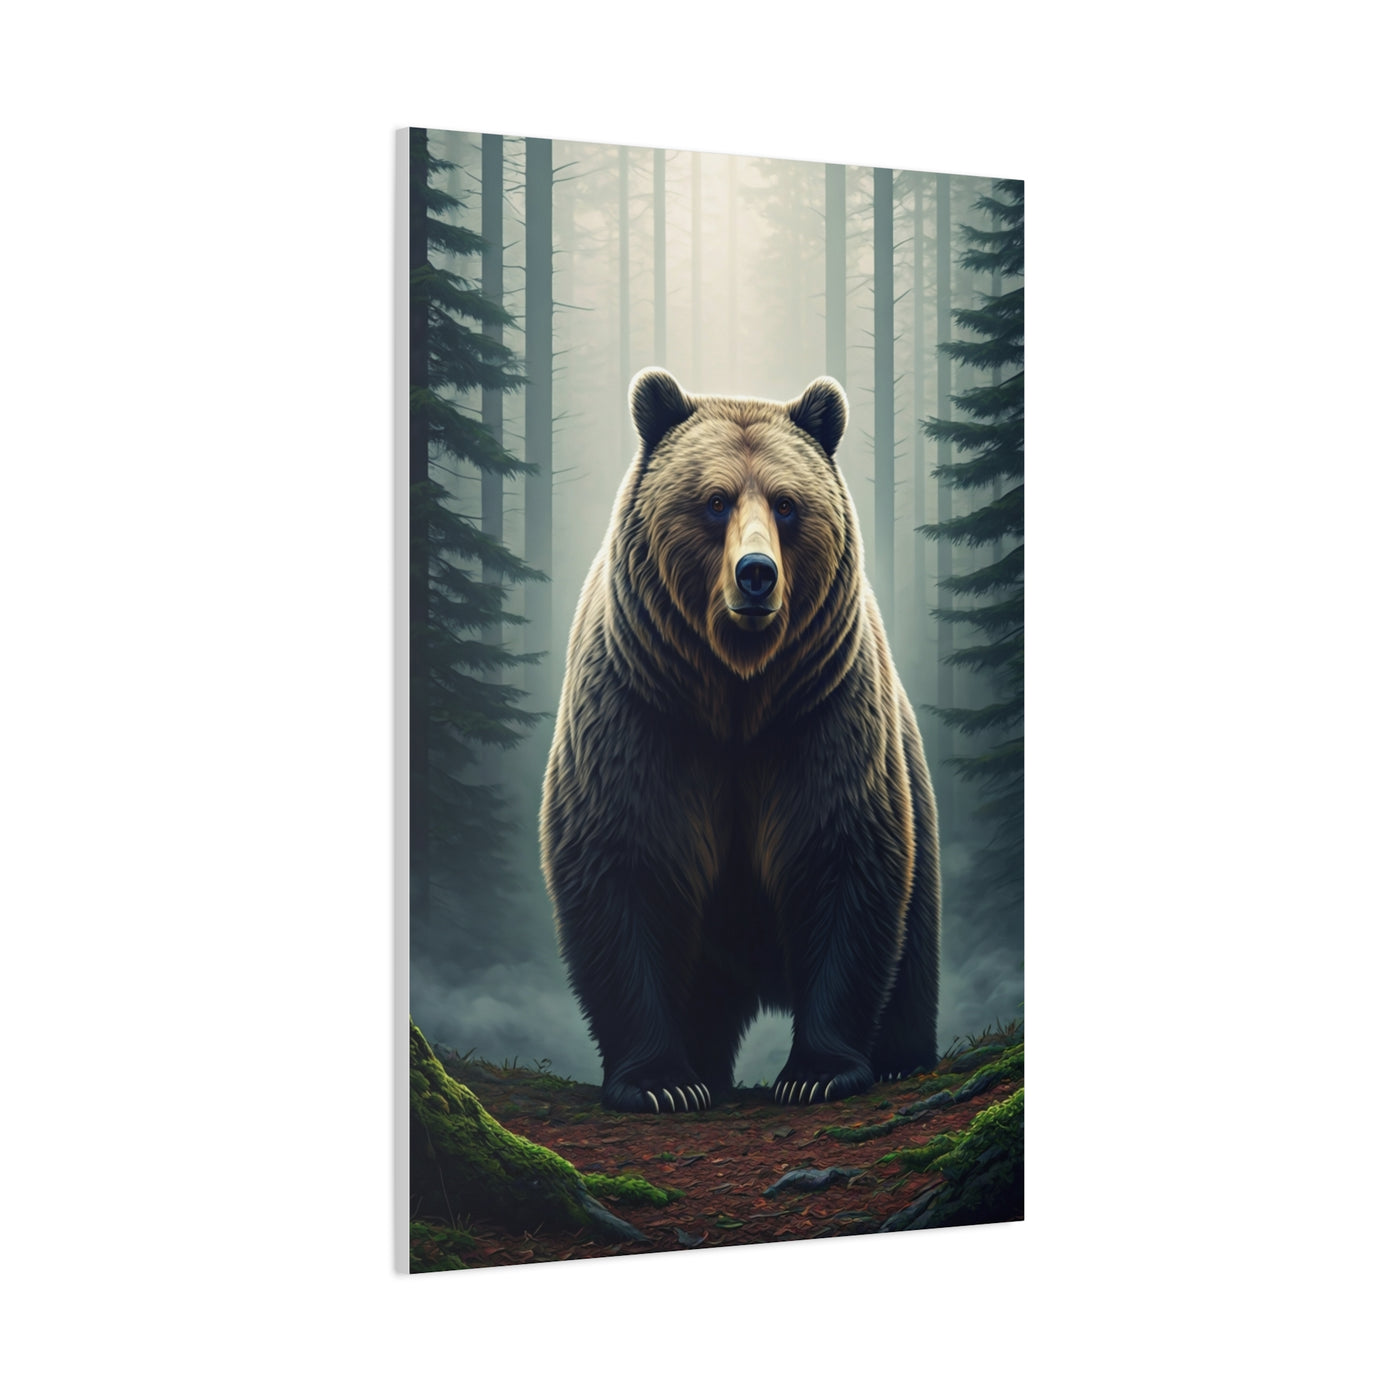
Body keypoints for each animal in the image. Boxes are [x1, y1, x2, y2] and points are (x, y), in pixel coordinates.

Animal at [540, 368, 940, 1113]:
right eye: (715, 501)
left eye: (786, 505)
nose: (756, 573)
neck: (737, 696)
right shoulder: (642, 715)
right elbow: (625, 865)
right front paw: (661, 1084)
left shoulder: (821, 717)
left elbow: (843, 859)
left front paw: (816, 1072)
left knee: (915, 945)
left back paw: (903, 1060)